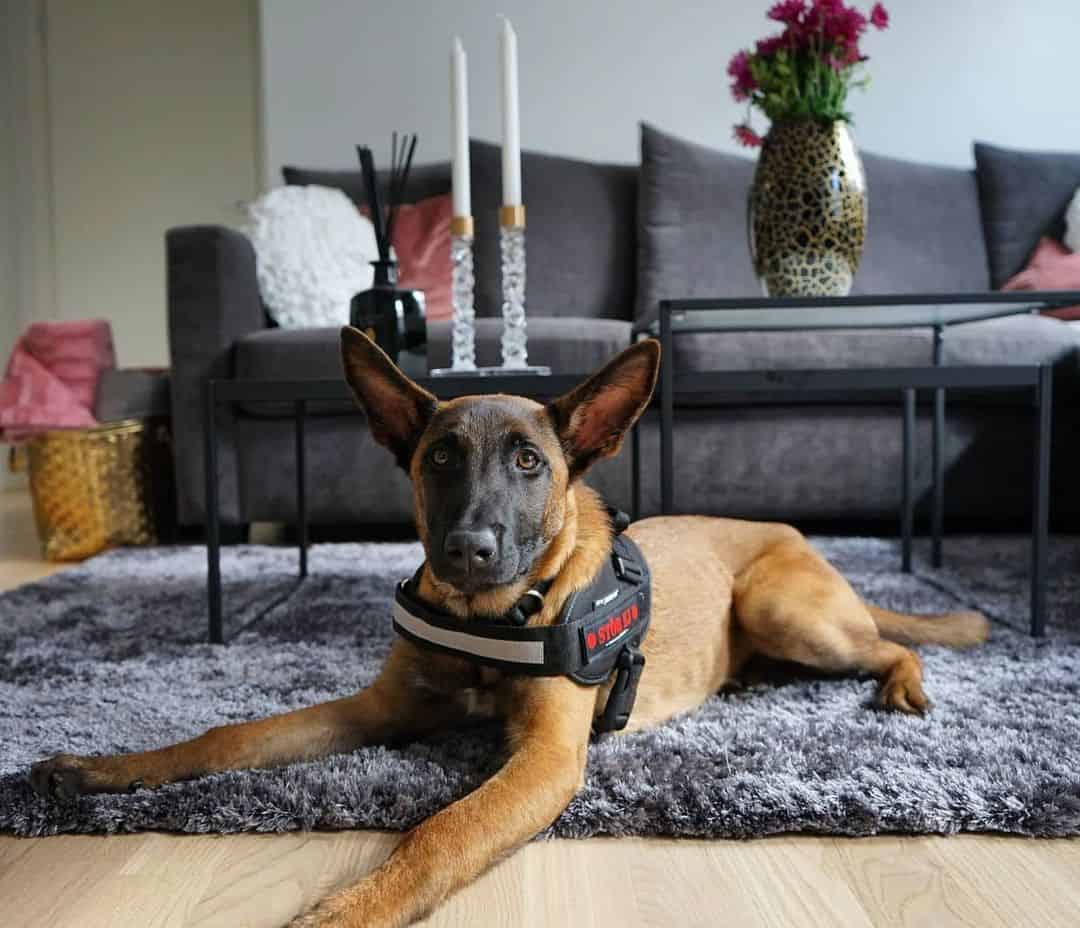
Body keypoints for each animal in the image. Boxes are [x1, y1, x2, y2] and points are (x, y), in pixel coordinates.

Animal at [27, 330, 989, 924]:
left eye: (530, 462)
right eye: (440, 458)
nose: (468, 549)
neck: (490, 618)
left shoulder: (547, 761)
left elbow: (439, 832)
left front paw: (346, 910)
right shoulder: (376, 711)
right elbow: (228, 737)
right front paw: (110, 768)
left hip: (783, 609)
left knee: (893, 643)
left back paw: (903, 687)